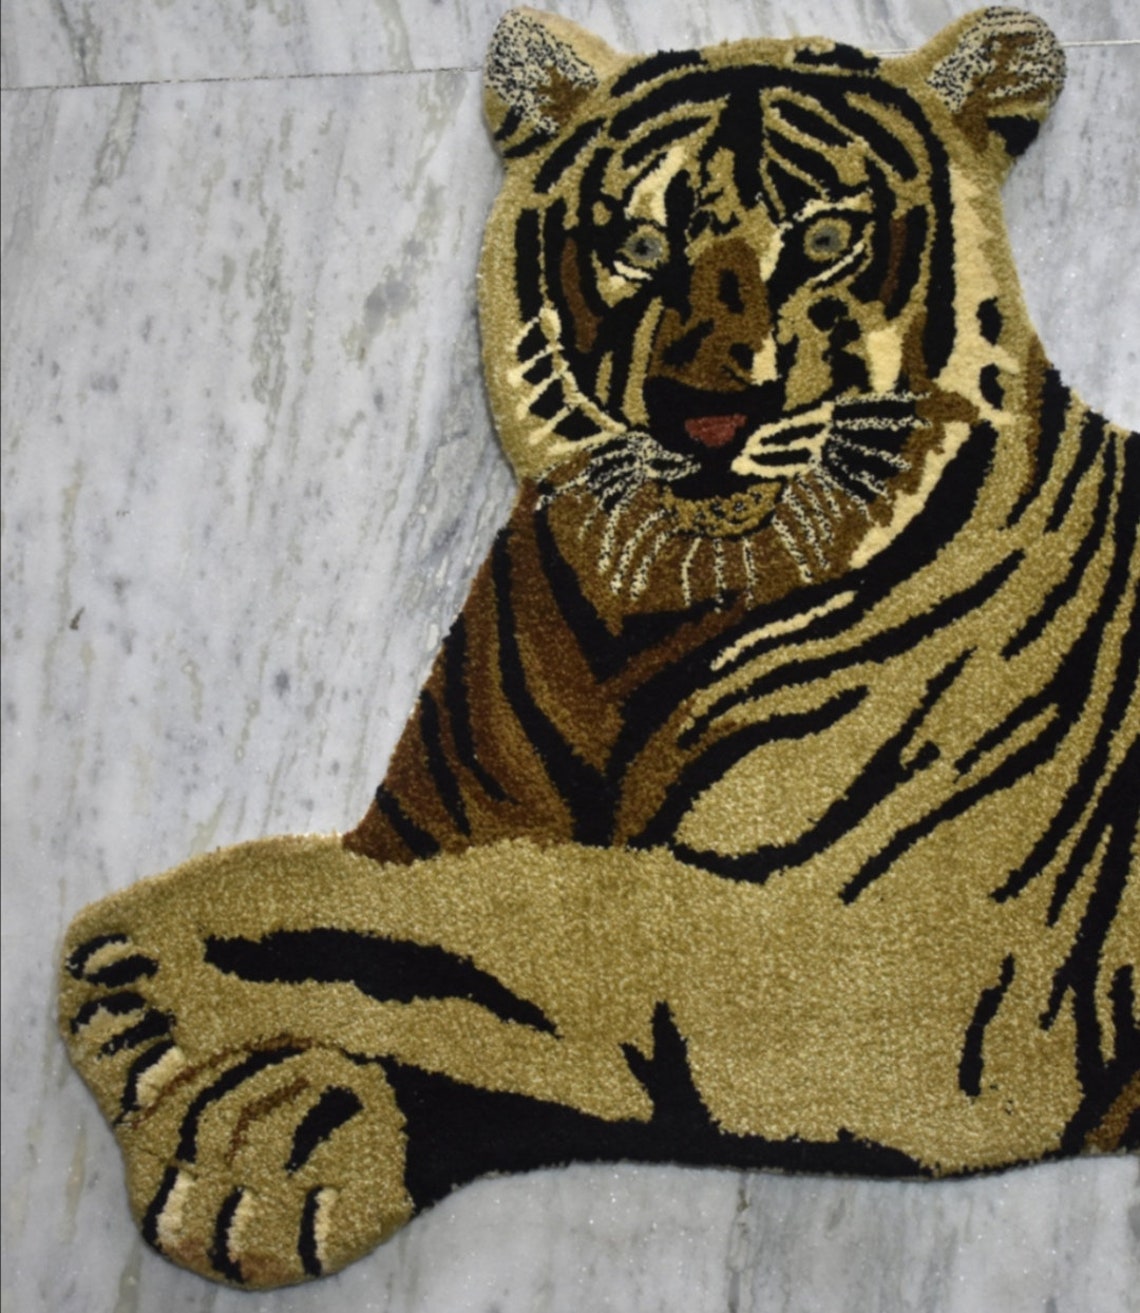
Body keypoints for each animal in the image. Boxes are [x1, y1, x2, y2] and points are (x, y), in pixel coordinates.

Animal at [60, 5, 1138, 1290]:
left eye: (826, 239)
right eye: (638, 243)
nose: (708, 415)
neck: (650, 613)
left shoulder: (888, 967)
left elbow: (520, 906)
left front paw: (149, 972)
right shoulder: (434, 821)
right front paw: (254, 1146)